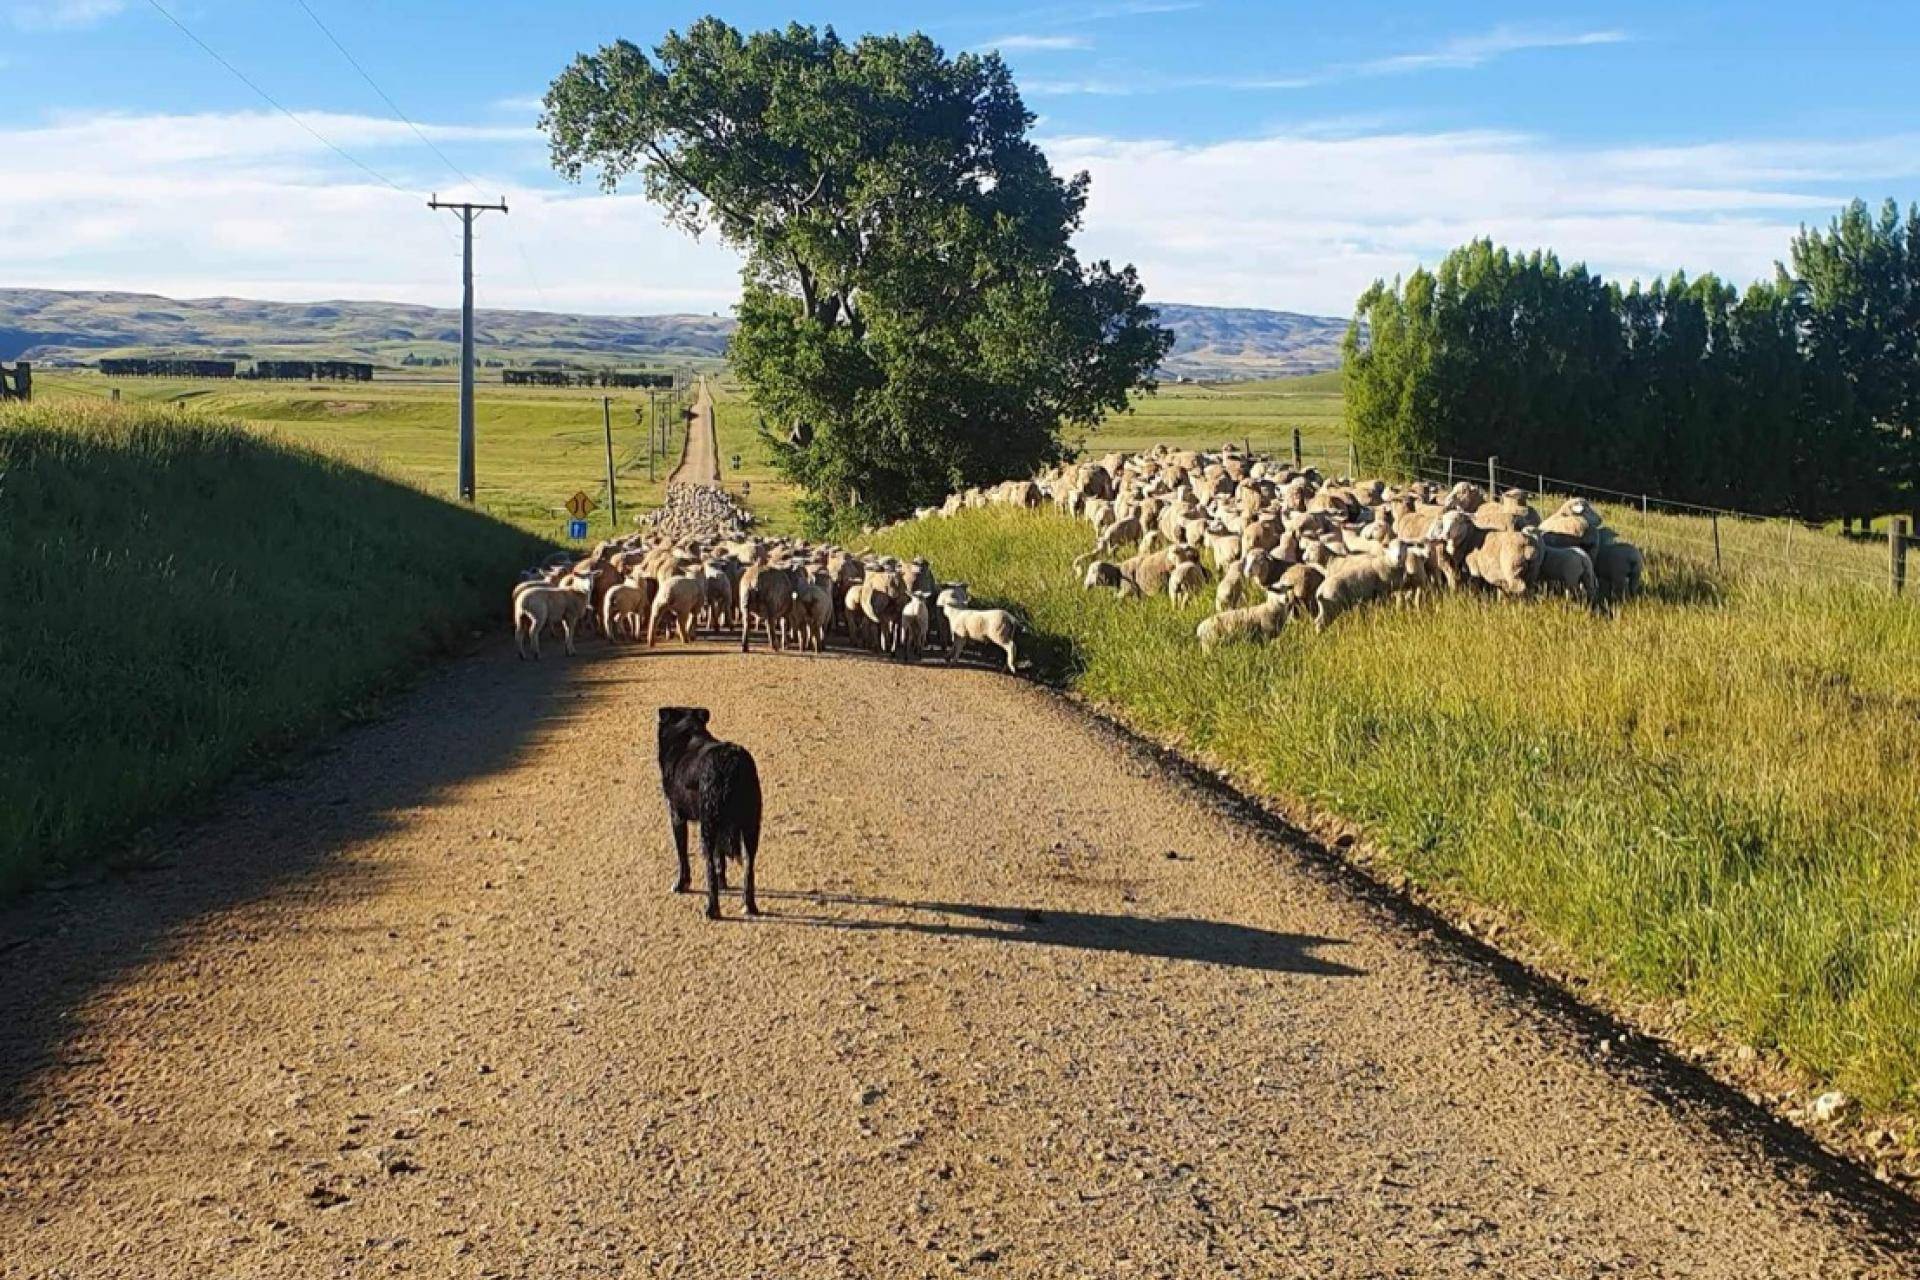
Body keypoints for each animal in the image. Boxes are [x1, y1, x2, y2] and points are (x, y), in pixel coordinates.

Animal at [652, 706, 756, 917]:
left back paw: (711, 909)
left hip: (707, 829)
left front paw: (681, 885)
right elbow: (720, 859)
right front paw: (724, 883)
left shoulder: (676, 816)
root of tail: (731, 764)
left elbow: (682, 856)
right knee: (749, 868)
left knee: (709, 870)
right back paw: (749, 906)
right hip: (750, 827)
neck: (686, 731)